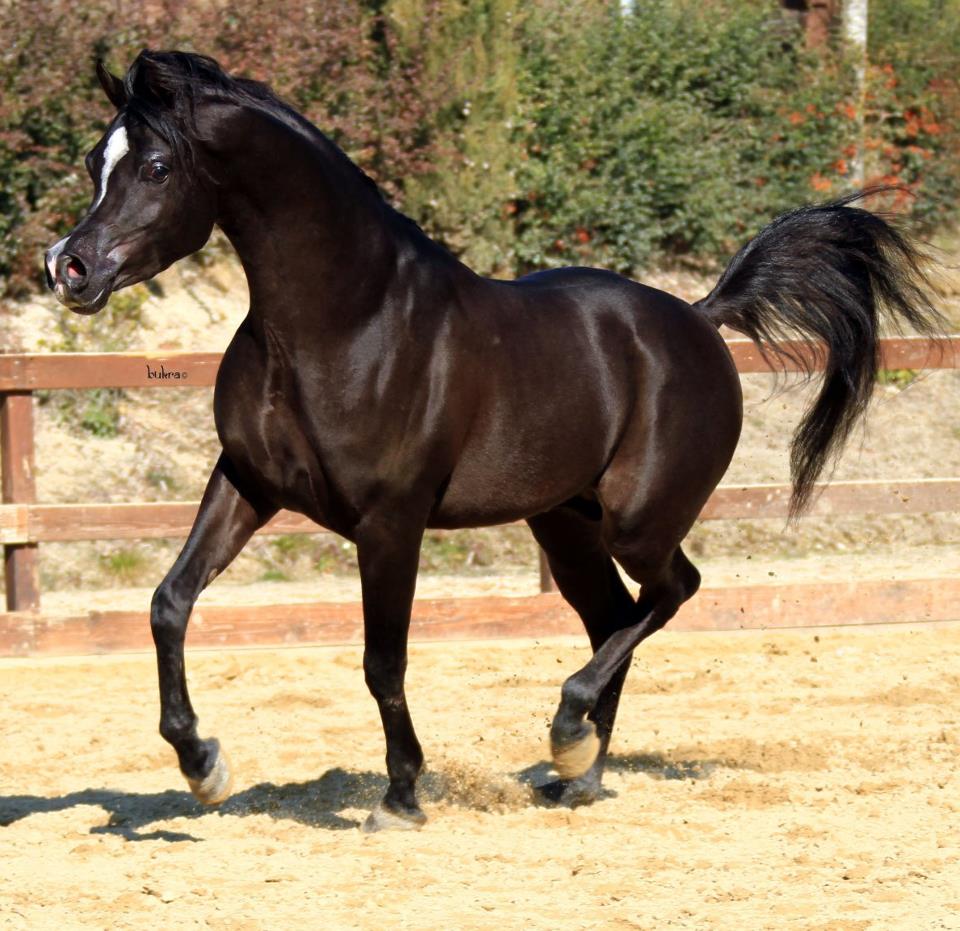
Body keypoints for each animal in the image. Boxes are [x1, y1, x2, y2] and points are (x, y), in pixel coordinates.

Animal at [45, 51, 940, 832]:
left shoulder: (391, 521)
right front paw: (204, 766)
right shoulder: (247, 484)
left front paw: (401, 796)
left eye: (157, 166)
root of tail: (699, 317)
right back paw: (576, 770)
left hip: (640, 520)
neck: (344, 320)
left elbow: (383, 661)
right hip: (567, 524)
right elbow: (168, 603)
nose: (69, 268)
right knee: (614, 616)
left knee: (670, 593)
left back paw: (568, 731)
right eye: (96, 159)